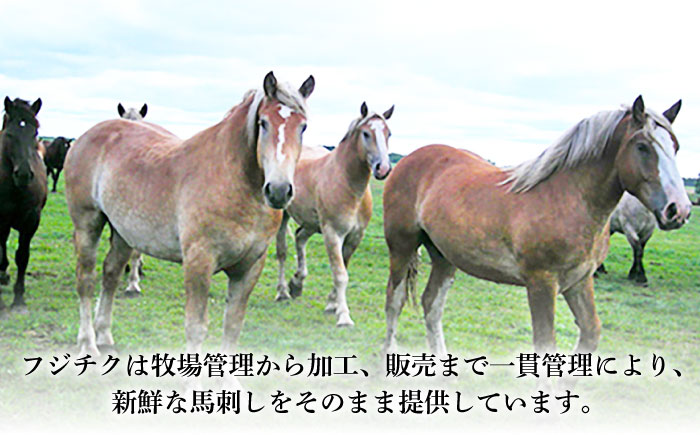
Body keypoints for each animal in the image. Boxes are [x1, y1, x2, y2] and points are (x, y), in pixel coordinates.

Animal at [64, 72, 315, 355]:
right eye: (263, 123)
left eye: (303, 127)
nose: (279, 190)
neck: (232, 180)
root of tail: (85, 137)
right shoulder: (199, 262)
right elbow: (196, 328)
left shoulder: (249, 268)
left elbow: (233, 326)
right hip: (88, 224)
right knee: (86, 281)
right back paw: (88, 344)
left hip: (123, 233)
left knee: (111, 274)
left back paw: (104, 335)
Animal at [273, 102, 394, 327]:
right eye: (366, 133)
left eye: (388, 133)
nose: (383, 168)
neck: (347, 183)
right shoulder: (333, 234)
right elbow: (340, 274)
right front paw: (344, 316)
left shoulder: (354, 237)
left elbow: (343, 268)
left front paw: (332, 304)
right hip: (284, 216)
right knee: (282, 252)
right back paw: (283, 292)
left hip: (311, 224)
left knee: (300, 238)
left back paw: (297, 283)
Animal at [381, 96, 690, 356]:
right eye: (642, 147)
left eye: (675, 147)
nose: (679, 209)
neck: (567, 196)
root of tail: (409, 160)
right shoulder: (542, 282)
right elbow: (545, 342)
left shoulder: (579, 281)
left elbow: (590, 333)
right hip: (402, 247)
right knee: (395, 300)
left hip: (444, 256)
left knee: (432, 305)